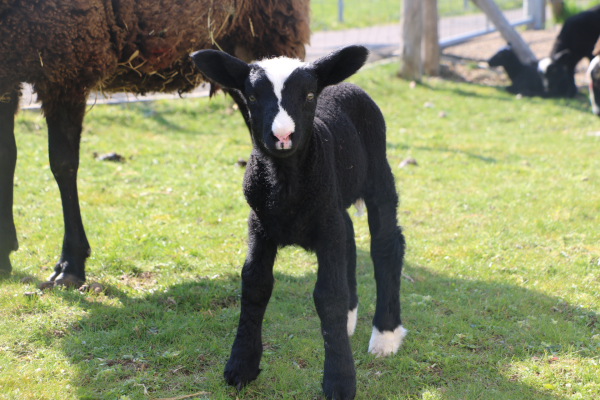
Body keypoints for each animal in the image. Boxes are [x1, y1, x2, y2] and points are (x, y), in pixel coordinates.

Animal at [0, 0, 309, 286]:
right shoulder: (8, 73)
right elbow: (7, 157)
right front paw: (4, 253)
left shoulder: (67, 62)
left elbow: (62, 164)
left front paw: (70, 265)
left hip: (266, 34)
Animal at [190, 45, 407, 400]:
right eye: (251, 96)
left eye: (307, 95)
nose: (282, 135)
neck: (286, 181)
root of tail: (344, 84)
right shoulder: (259, 224)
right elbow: (255, 285)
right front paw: (241, 366)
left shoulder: (325, 224)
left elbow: (328, 295)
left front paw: (339, 380)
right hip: (334, 203)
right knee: (350, 237)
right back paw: (350, 321)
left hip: (378, 174)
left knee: (387, 245)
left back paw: (385, 336)